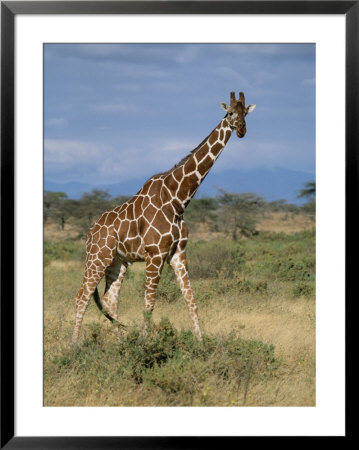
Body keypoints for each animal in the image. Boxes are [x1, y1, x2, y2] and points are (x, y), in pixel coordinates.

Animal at [71, 92, 256, 344]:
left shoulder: (178, 254)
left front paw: (201, 343)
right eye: (229, 113)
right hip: (97, 258)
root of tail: (90, 233)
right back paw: (73, 345)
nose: (241, 129)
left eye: (245, 113)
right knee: (82, 296)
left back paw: (119, 342)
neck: (177, 200)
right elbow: (148, 306)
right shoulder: (155, 254)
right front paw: (143, 345)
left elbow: (191, 302)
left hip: (118, 262)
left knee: (109, 300)